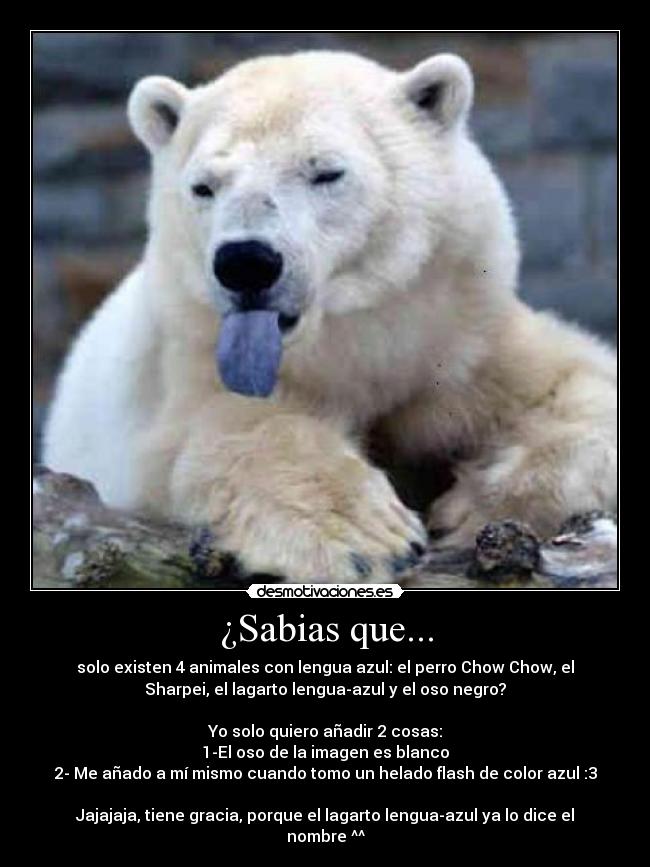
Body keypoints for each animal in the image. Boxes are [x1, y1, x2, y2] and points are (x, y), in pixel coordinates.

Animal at [43, 51, 617, 583]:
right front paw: (363, 537)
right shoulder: (190, 360)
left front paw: (475, 506)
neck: (342, 340)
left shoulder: (461, 335)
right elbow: (233, 430)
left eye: (326, 172)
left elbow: (576, 382)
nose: (245, 262)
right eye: (203, 186)